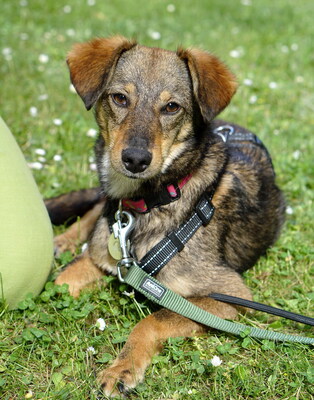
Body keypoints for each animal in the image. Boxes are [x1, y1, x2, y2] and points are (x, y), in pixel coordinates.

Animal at [48, 36, 284, 396]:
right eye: (120, 98)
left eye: (172, 107)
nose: (135, 159)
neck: (148, 203)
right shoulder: (104, 256)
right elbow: (63, 280)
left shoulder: (229, 296)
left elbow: (152, 320)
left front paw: (122, 368)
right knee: (93, 210)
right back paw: (63, 240)